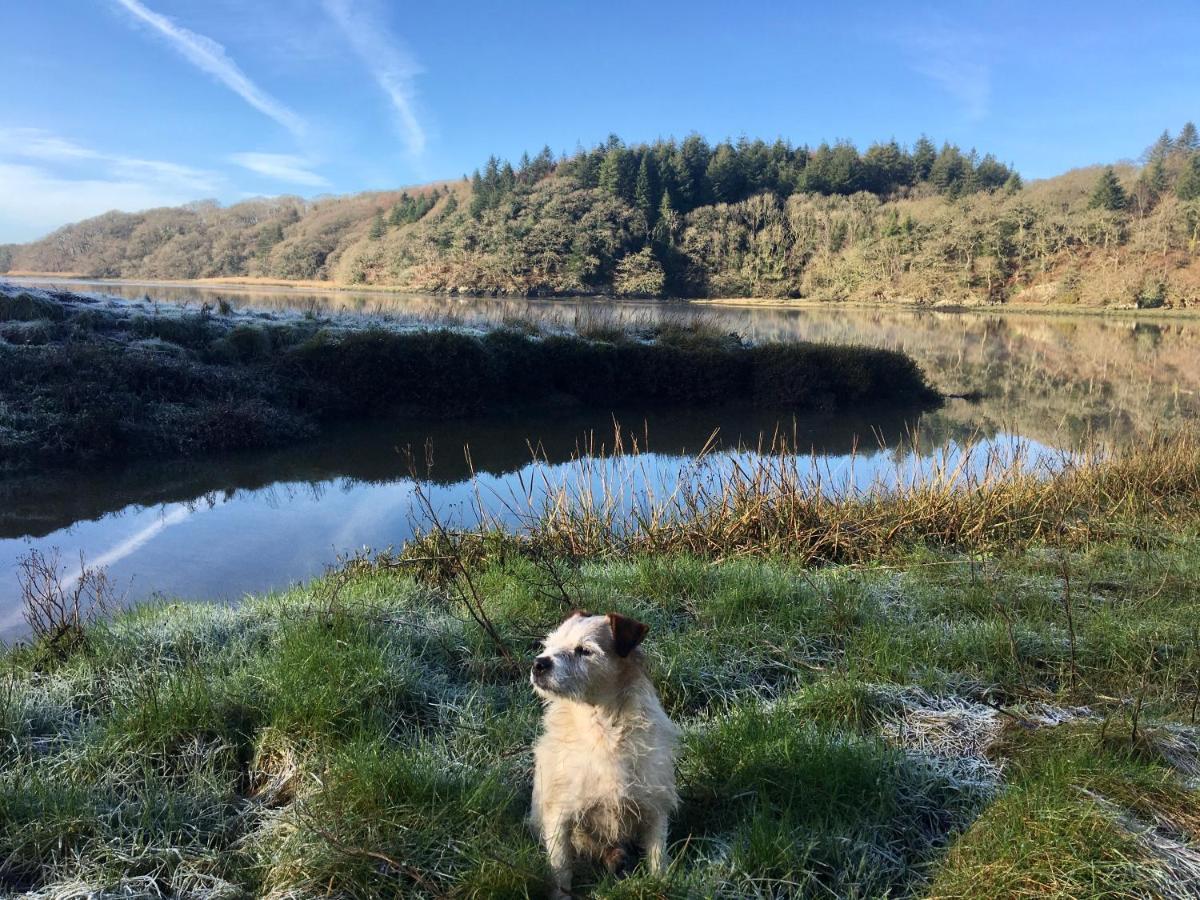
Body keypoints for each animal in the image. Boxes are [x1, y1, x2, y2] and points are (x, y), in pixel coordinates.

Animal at [530, 609, 681, 897]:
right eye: (550, 645)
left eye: (584, 650)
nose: (538, 664)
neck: (602, 729)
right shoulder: (559, 815)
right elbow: (561, 868)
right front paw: (561, 895)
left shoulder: (655, 805)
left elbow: (657, 855)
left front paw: (661, 884)